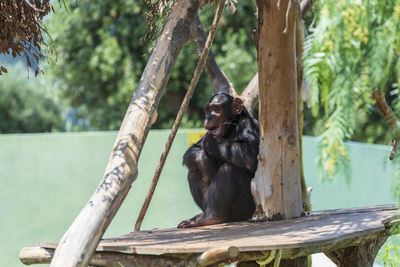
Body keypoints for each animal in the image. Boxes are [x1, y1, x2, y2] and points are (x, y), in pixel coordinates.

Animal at [178, 93, 260, 229]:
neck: (231, 128)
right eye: (208, 110)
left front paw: (211, 142)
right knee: (193, 171)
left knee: (228, 169)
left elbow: (251, 156)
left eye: (216, 109)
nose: (209, 117)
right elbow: (194, 148)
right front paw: (203, 160)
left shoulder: (248, 125)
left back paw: (212, 217)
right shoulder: (206, 133)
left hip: (245, 210)